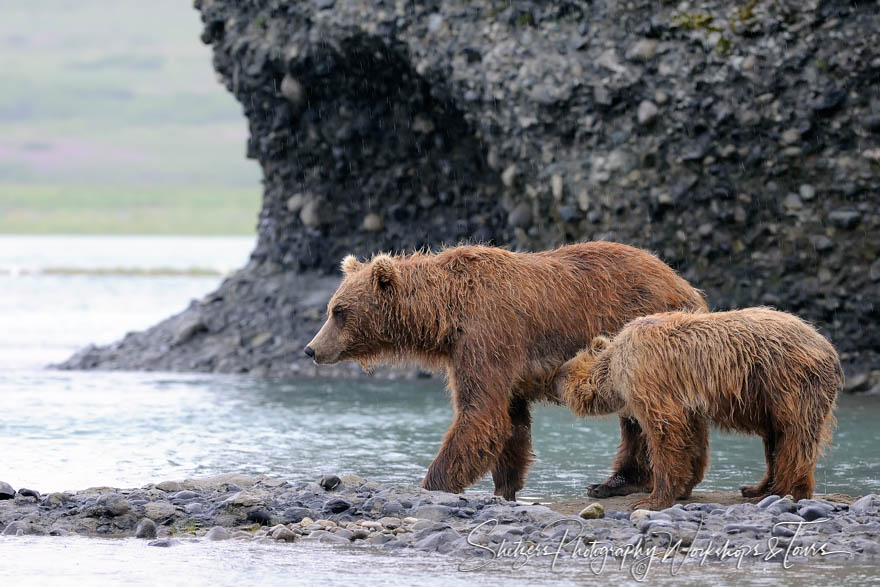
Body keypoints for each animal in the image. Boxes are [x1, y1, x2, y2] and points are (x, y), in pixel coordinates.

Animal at [306, 241, 704, 498]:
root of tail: (686, 285)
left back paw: (616, 482)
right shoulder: (493, 357)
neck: (446, 313)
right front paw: (505, 487)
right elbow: (510, 422)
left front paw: (433, 483)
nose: (311, 349)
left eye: (339, 311)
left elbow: (480, 414)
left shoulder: (487, 335)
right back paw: (620, 482)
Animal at [552, 310, 844, 512]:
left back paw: (783, 492)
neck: (615, 369)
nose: (553, 379)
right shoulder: (686, 400)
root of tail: (831, 350)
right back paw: (756, 488)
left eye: (562, 375)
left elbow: (665, 433)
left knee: (794, 437)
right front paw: (683, 486)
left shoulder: (651, 380)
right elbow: (690, 436)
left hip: (788, 382)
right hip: (770, 398)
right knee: (775, 438)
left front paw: (651, 499)